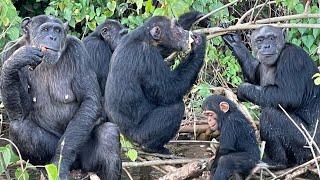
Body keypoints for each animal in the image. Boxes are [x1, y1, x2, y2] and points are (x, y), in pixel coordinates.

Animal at [0, 15, 121, 180]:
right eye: (45, 29)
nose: (53, 37)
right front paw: (16, 61)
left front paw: (60, 162)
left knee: (109, 135)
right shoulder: (9, 50)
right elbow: (20, 113)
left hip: (84, 160)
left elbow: (89, 100)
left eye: (57, 30)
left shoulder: (78, 50)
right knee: (20, 129)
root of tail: (76, 168)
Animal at [104, 15, 206, 154]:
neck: (146, 39)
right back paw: (152, 147)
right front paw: (199, 44)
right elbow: (169, 90)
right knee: (175, 108)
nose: (185, 31)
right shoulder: (148, 56)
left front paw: (193, 16)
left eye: (179, 25)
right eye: (177, 29)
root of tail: (128, 141)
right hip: (142, 135)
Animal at [221, 24, 320, 168]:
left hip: (308, 145)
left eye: (272, 38)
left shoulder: (292, 59)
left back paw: (276, 163)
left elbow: (287, 95)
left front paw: (242, 89)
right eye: (260, 40)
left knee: (270, 114)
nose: (267, 46)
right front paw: (234, 42)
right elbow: (254, 74)